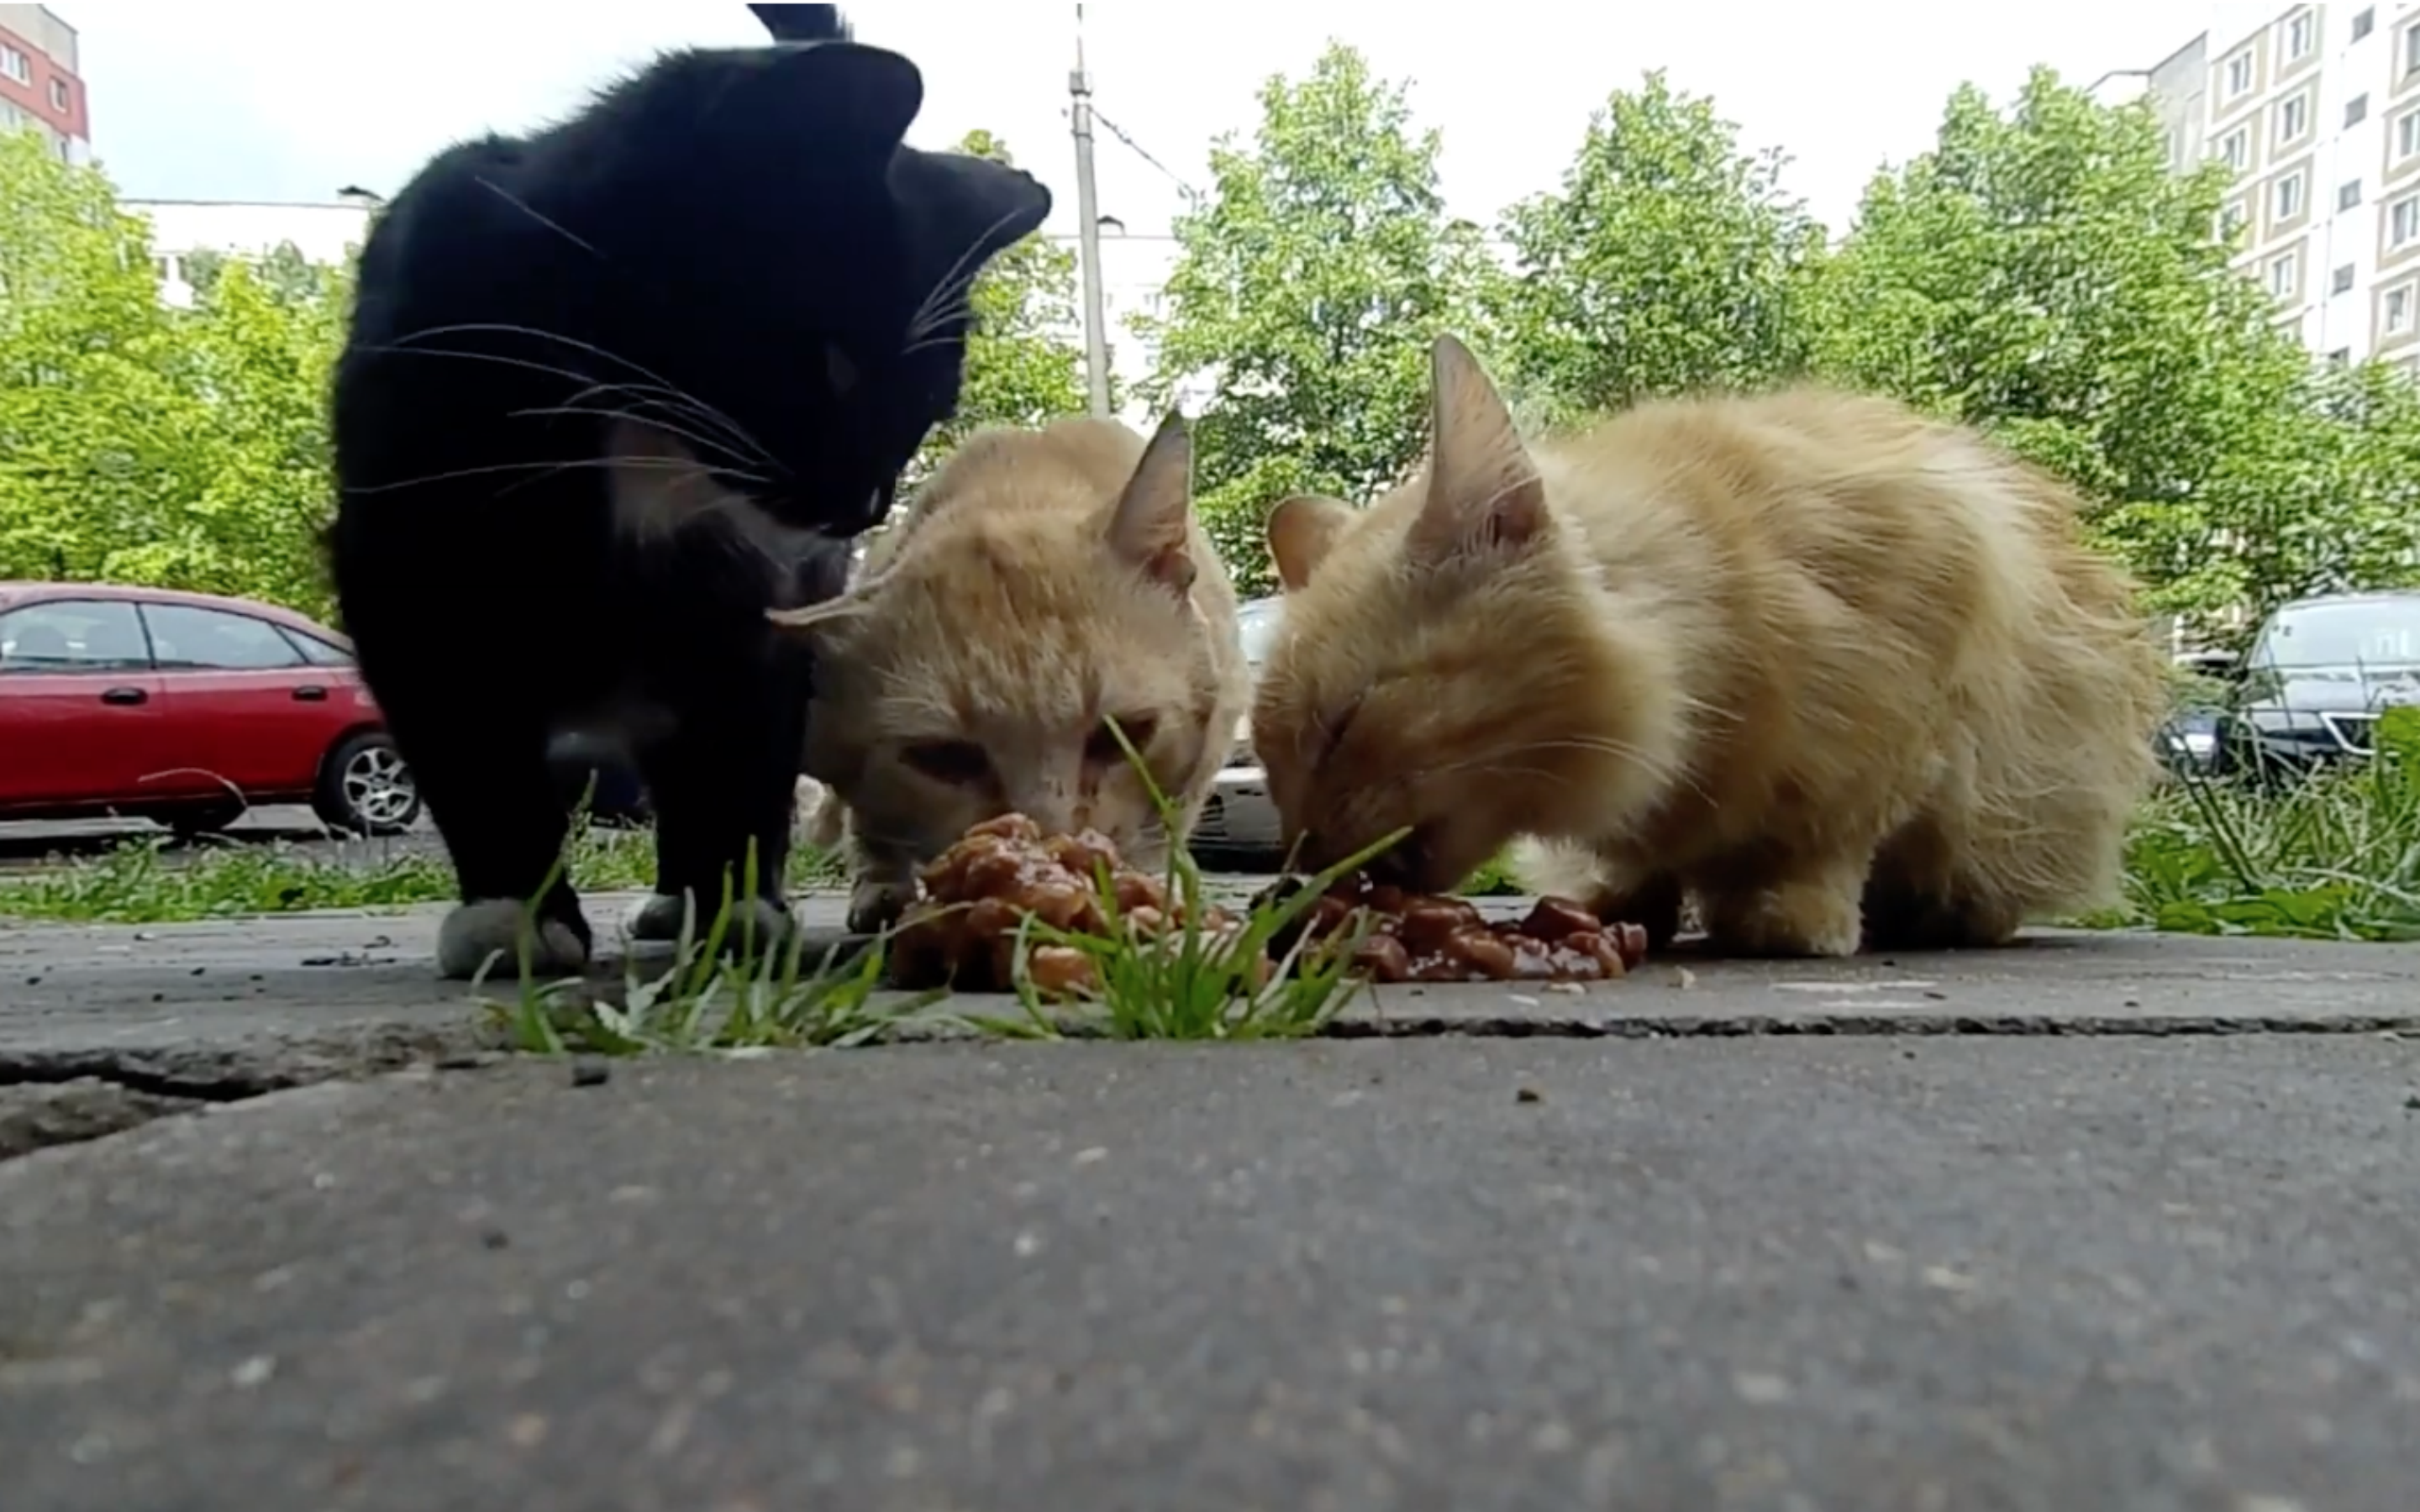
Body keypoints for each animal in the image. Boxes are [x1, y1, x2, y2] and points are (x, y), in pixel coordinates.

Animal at [326, 8, 1045, 977]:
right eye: (838, 366)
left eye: (928, 409)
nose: (862, 507)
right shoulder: (406, 563)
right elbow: (471, 746)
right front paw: (515, 913)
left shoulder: (756, 603)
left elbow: (738, 751)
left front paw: (735, 907)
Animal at [1258, 339, 2168, 963]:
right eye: (1271, 764)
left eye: (1343, 723)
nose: (1301, 865)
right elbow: (1642, 868)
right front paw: (1618, 902)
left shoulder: (1905, 717)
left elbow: (1827, 842)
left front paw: (1789, 917)